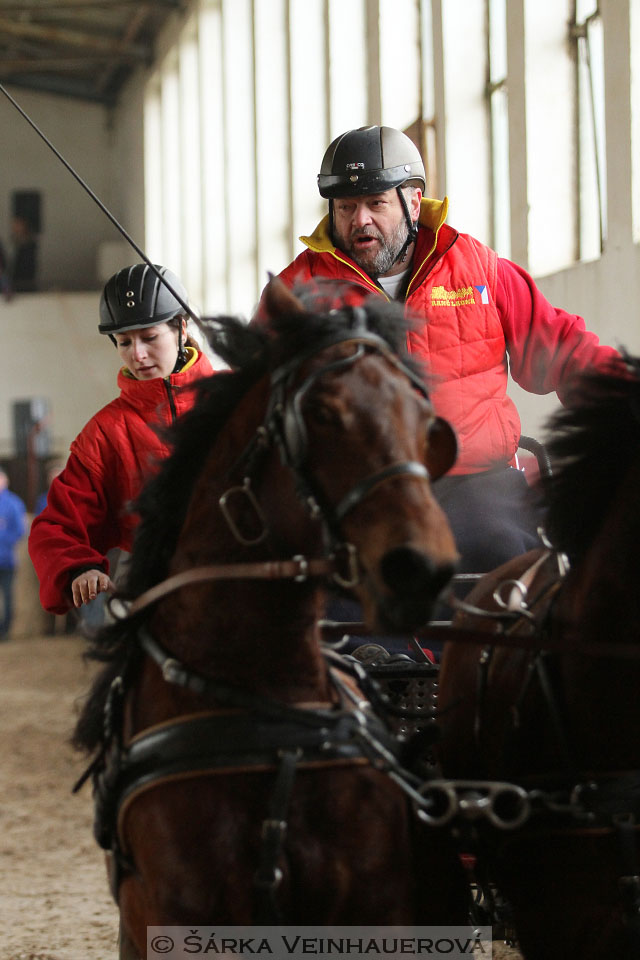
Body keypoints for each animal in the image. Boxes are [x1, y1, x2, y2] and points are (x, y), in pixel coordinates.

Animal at [74, 282, 470, 956]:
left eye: (425, 424)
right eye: (324, 414)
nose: (422, 569)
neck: (266, 710)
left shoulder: (378, 912)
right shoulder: (177, 918)